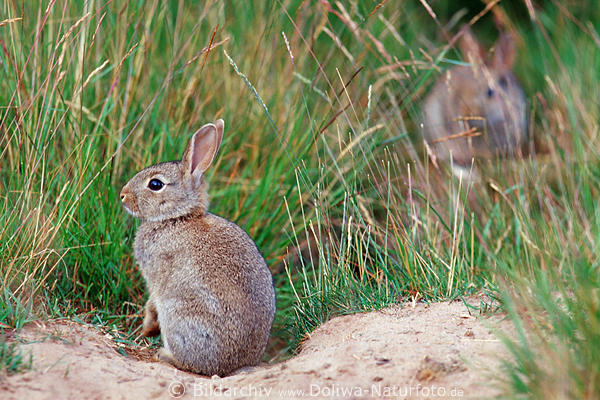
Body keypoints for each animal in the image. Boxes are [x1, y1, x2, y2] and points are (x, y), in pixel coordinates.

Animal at [119, 119, 276, 378]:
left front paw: (147, 329)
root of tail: (230, 367)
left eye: (155, 184)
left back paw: (164, 355)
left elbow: (151, 302)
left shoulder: (156, 278)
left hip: (179, 315)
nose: (123, 195)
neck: (178, 217)